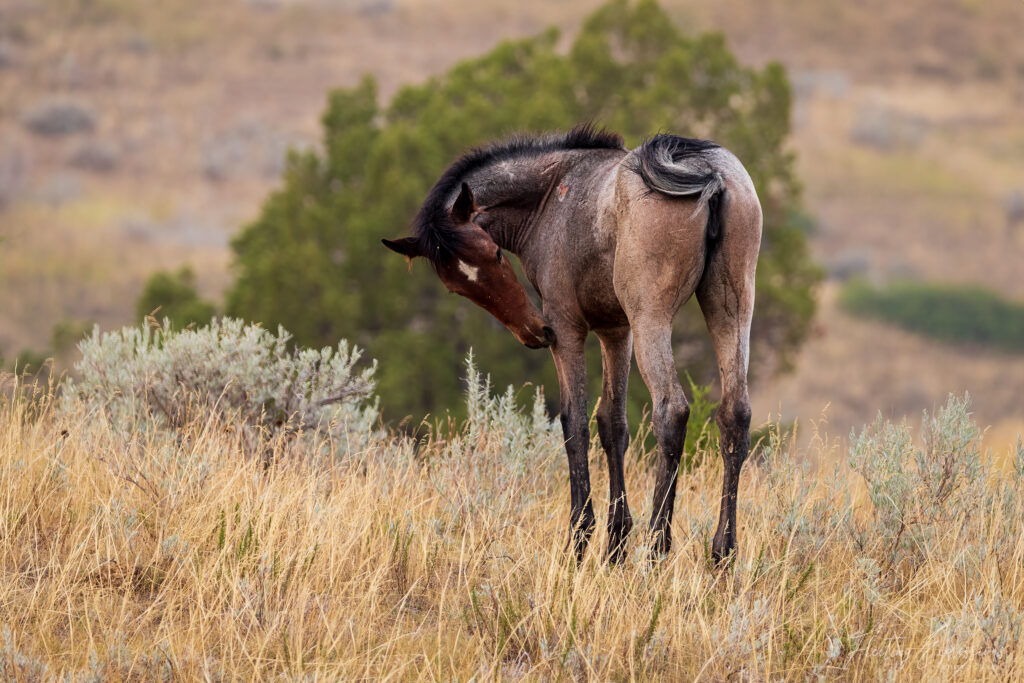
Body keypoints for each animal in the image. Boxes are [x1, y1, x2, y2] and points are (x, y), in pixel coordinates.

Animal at [382, 124, 761, 565]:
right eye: (457, 287)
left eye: (495, 253)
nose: (534, 332)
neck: (552, 196)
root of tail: (703, 170)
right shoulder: (616, 330)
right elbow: (612, 424)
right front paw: (615, 544)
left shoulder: (568, 329)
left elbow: (573, 421)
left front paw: (580, 537)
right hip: (729, 308)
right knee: (735, 414)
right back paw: (723, 551)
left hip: (652, 318)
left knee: (672, 411)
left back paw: (656, 548)